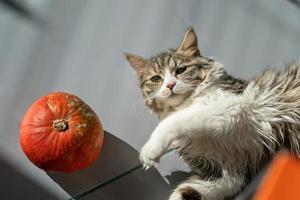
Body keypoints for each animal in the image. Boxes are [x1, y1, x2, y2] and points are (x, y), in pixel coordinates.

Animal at [123, 27, 300, 200]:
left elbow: (175, 120)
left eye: (181, 70)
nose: (170, 85)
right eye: (156, 79)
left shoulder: (235, 105)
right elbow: (191, 191)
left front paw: (150, 149)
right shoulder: (228, 171)